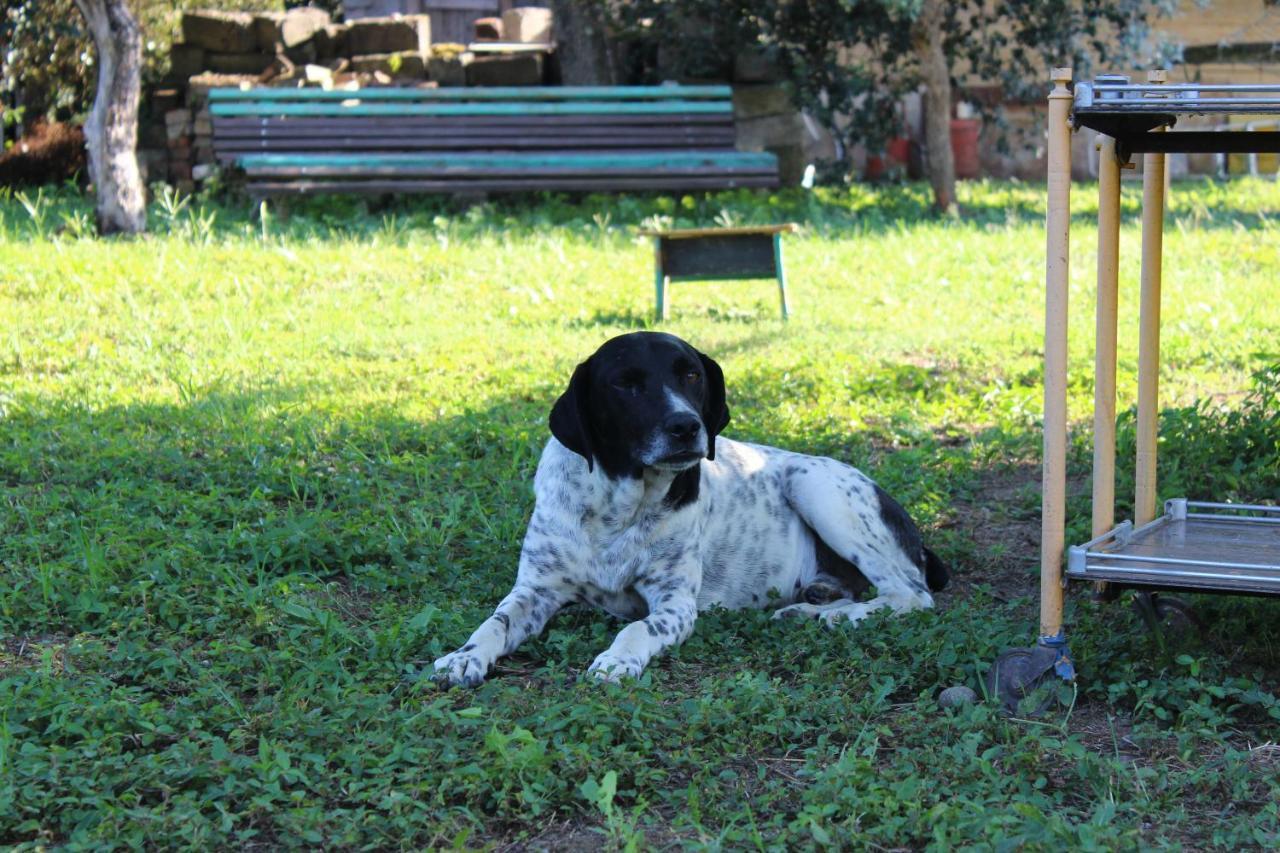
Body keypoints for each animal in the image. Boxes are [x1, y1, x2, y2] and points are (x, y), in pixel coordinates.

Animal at [435, 330, 947, 686]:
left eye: (692, 375)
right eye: (625, 384)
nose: (686, 426)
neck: (617, 507)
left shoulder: (674, 603)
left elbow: (636, 630)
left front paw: (616, 659)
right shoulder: (535, 590)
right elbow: (493, 624)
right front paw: (464, 656)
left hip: (814, 485)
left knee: (911, 595)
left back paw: (840, 617)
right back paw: (810, 609)